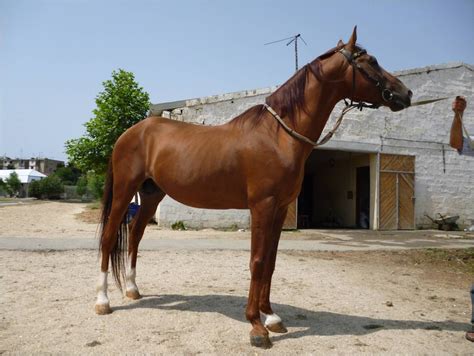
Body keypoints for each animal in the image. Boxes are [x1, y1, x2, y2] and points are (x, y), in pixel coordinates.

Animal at [93, 27, 412, 348]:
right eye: (370, 61)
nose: (405, 93)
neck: (278, 135)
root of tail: (129, 133)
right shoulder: (262, 206)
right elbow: (257, 262)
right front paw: (256, 327)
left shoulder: (280, 209)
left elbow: (270, 262)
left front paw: (271, 317)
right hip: (124, 192)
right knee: (109, 238)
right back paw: (103, 301)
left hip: (150, 195)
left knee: (135, 236)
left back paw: (132, 289)